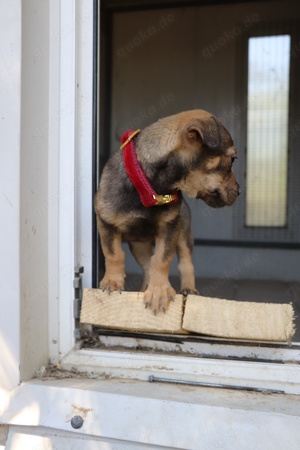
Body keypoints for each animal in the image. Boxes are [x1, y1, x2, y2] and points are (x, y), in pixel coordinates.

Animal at [94, 109, 239, 312]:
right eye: (232, 159)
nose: (239, 191)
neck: (151, 187)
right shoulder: (106, 223)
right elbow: (114, 254)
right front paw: (113, 282)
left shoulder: (170, 227)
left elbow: (162, 260)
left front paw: (159, 291)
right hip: (139, 245)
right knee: (147, 265)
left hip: (183, 233)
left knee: (185, 263)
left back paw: (188, 289)